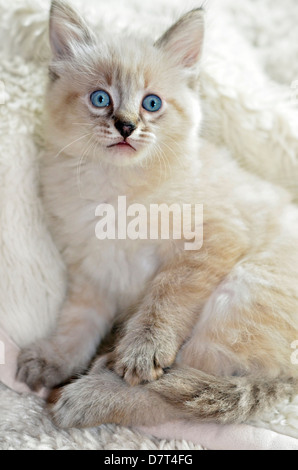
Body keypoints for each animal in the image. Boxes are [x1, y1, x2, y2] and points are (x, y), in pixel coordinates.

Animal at [16, 0, 298, 428]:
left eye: (152, 103)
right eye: (101, 99)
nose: (126, 127)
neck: (116, 189)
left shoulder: (210, 239)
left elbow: (165, 298)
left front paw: (141, 350)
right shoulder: (93, 272)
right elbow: (75, 324)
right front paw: (53, 357)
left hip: (244, 289)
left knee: (177, 392)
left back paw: (86, 398)